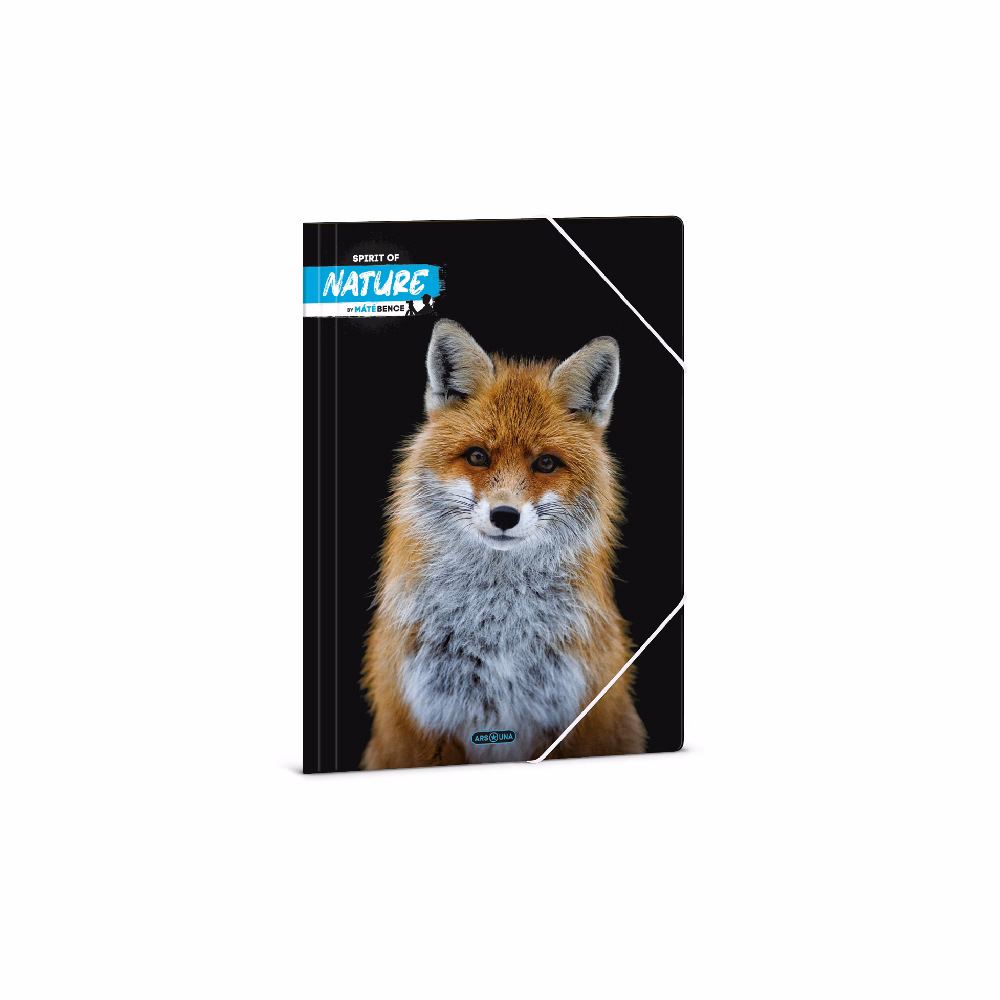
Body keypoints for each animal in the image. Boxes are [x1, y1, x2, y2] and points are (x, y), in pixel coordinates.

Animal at [360, 319, 646, 767]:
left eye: (545, 463)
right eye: (478, 456)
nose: (505, 516)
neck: (498, 633)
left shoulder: (576, 718)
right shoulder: (424, 725)